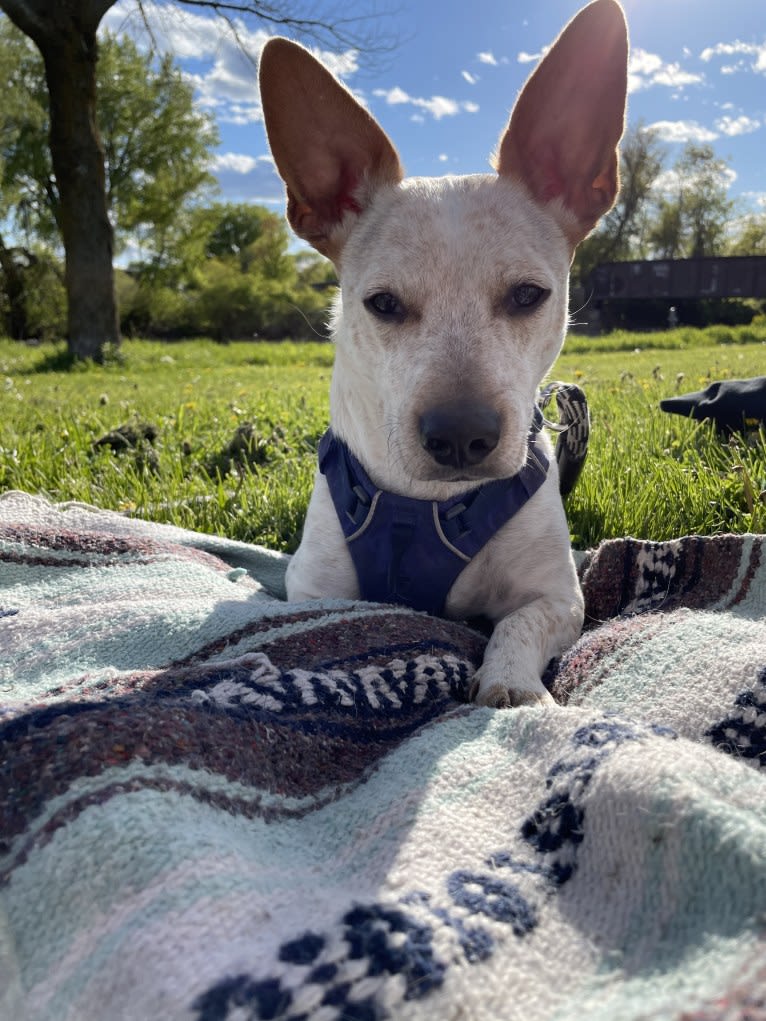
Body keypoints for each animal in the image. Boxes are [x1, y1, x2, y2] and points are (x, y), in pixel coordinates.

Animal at [259, 0, 629, 706]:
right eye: (382, 304)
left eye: (528, 295)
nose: (461, 436)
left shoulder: (559, 597)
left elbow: (520, 622)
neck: (423, 507)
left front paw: (510, 683)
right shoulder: (314, 589)